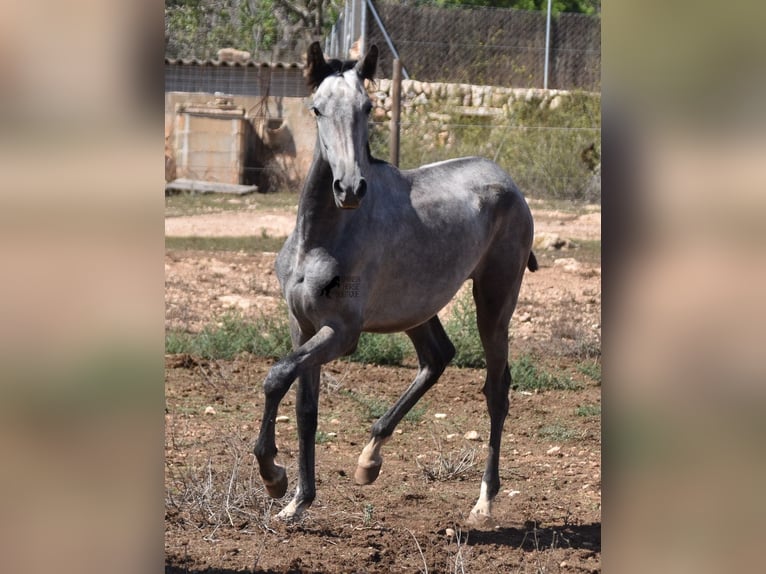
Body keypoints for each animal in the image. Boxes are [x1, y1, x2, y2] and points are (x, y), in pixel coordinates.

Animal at [255, 39, 536, 528]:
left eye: (367, 107)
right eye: (316, 109)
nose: (350, 188)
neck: (321, 237)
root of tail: (509, 185)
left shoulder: (342, 333)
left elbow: (277, 377)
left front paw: (273, 475)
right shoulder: (302, 325)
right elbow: (305, 408)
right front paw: (296, 501)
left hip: (494, 305)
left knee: (496, 390)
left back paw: (483, 502)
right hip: (418, 309)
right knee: (437, 357)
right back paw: (369, 459)